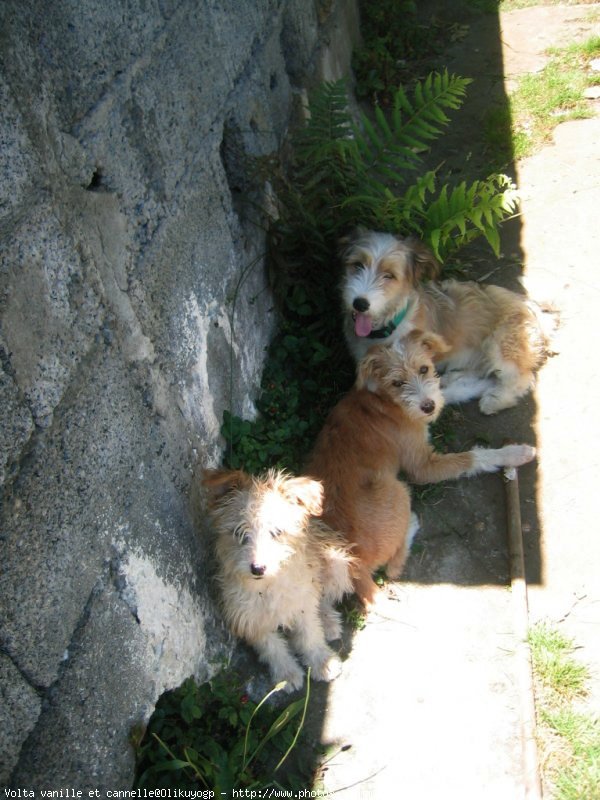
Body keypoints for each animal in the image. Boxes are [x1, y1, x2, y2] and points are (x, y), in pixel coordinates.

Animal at [203, 466, 352, 692]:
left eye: (277, 532)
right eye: (239, 532)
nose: (258, 568)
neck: (268, 586)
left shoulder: (302, 604)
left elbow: (310, 636)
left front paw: (322, 662)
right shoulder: (250, 618)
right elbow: (272, 648)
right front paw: (286, 674)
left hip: (337, 564)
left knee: (324, 599)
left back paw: (329, 622)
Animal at [308, 328, 536, 604]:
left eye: (424, 369)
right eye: (397, 383)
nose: (427, 407)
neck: (387, 402)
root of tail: (354, 566)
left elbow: (449, 390)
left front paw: (487, 384)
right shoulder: (423, 466)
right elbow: (471, 458)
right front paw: (514, 453)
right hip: (396, 489)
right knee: (393, 568)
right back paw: (412, 525)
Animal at [340, 225, 552, 412]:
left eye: (389, 275)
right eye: (357, 265)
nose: (360, 303)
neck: (389, 324)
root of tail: (530, 305)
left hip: (502, 345)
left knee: (520, 378)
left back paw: (495, 400)